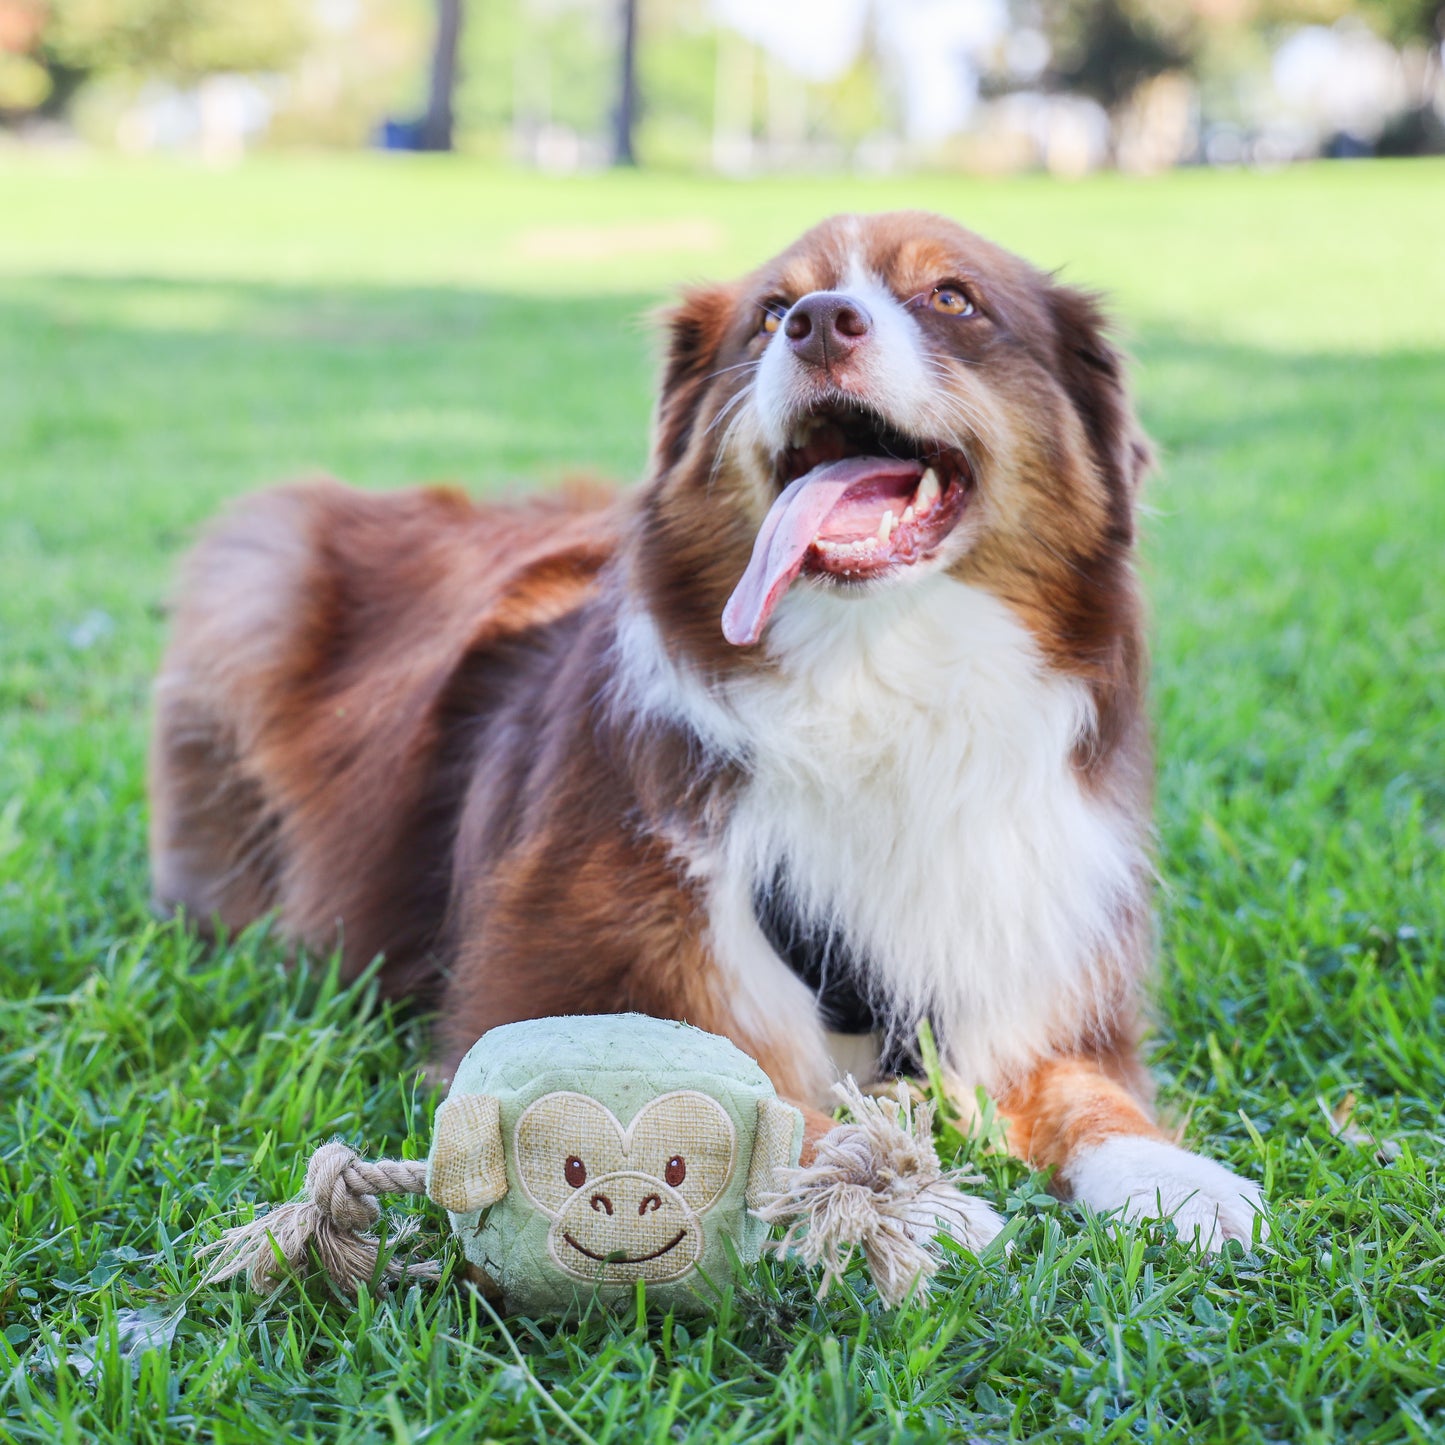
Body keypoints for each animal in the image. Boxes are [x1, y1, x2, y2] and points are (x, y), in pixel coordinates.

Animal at [149, 210, 1265, 1254]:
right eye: (769, 314)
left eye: (953, 298)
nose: (819, 322)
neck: (874, 678)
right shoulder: (539, 986)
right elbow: (743, 1102)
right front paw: (898, 1198)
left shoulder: (1024, 967)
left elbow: (1088, 1091)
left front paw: (1176, 1178)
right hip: (257, 565)